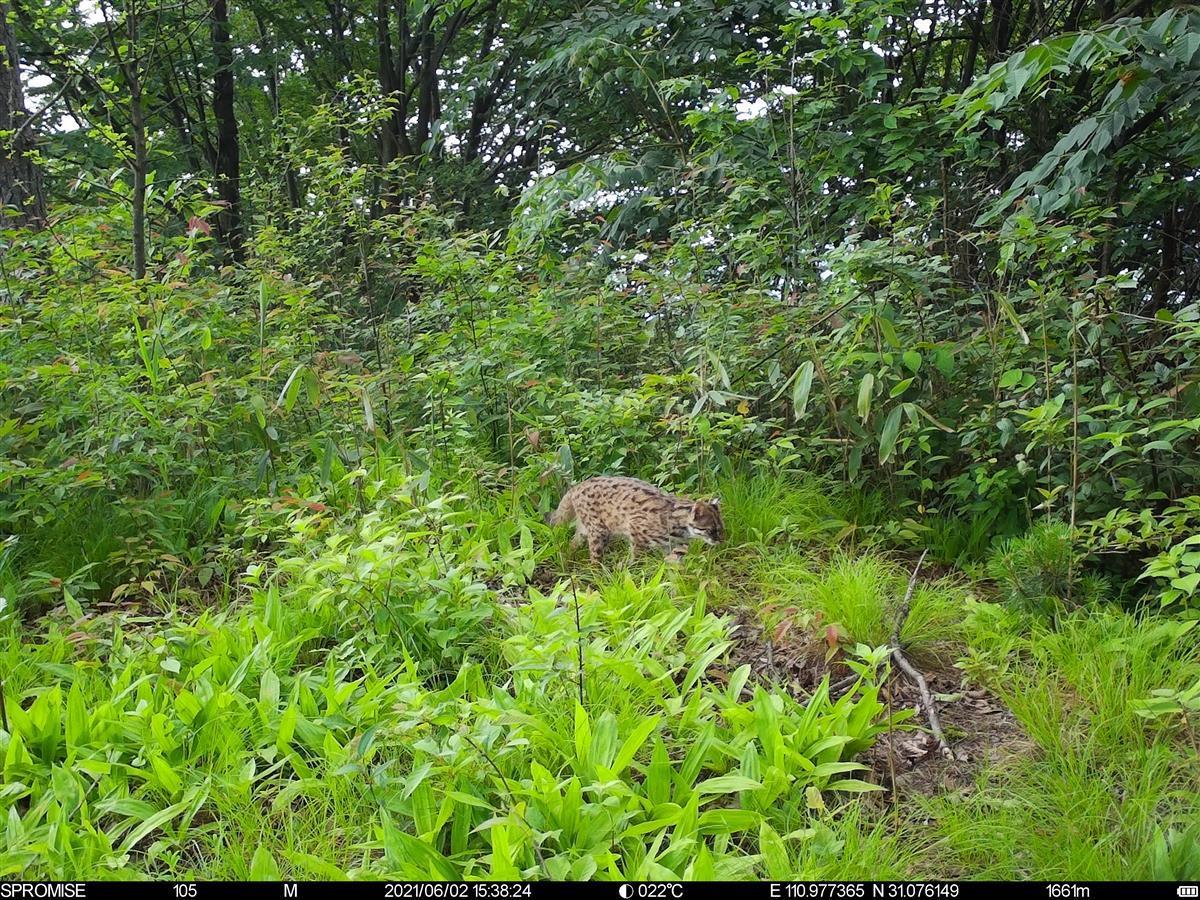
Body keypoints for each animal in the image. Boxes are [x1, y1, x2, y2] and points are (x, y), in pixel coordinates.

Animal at [549, 475, 724, 561]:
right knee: (594, 558)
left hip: (587, 529)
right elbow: (636, 558)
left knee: (573, 542)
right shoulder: (635, 532)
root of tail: (578, 486)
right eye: (710, 530)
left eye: (721, 529)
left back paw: (567, 558)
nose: (721, 541)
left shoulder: (670, 547)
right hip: (599, 531)